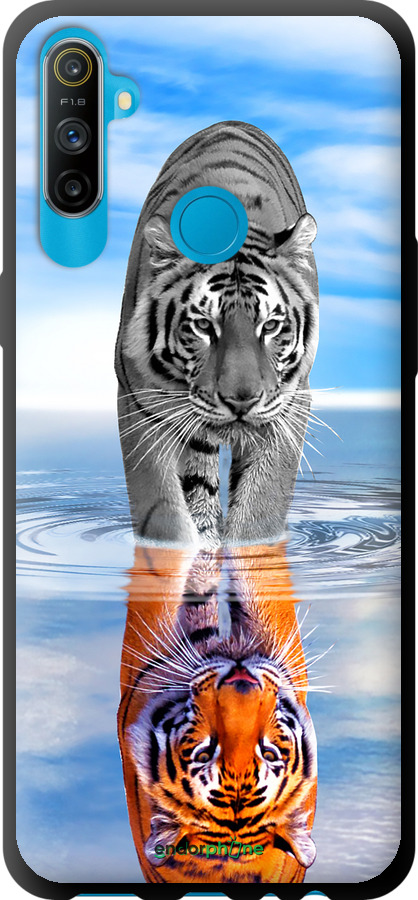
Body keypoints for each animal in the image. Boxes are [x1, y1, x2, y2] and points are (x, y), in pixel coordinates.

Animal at [115, 120, 319, 548]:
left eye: (270, 326)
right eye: (204, 326)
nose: (241, 401)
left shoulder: (290, 405)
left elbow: (261, 508)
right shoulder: (139, 401)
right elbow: (163, 511)